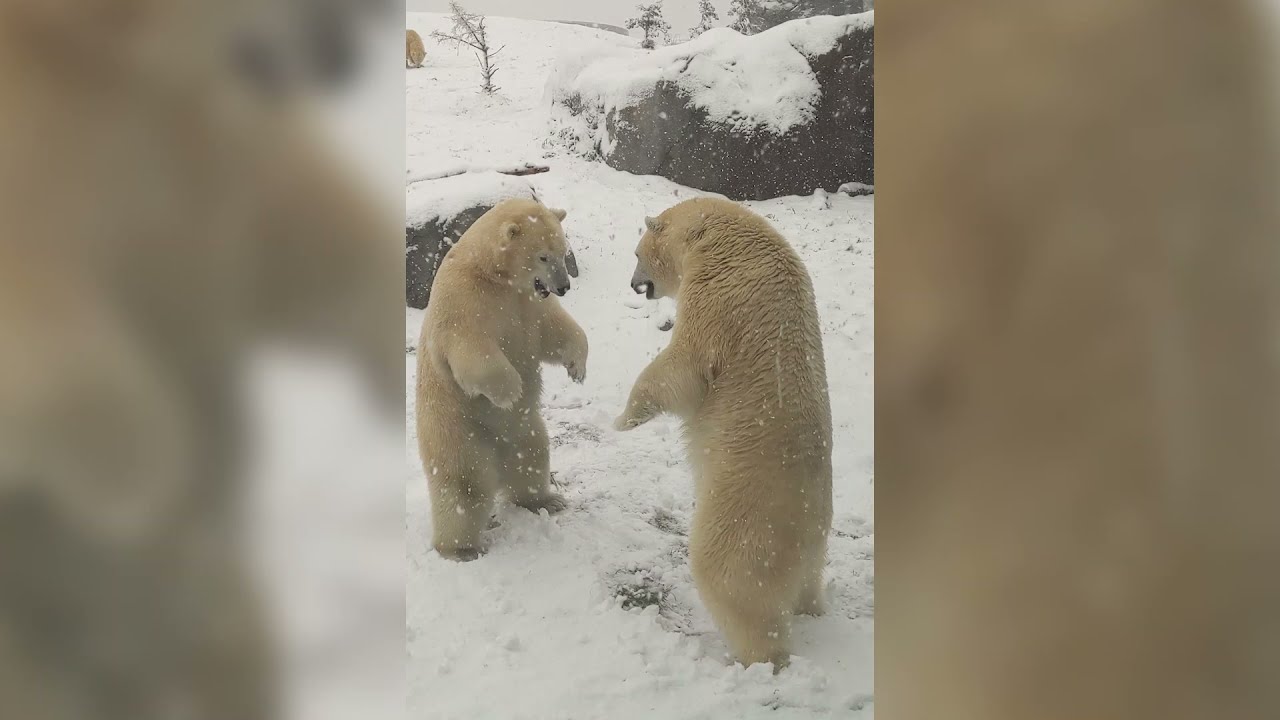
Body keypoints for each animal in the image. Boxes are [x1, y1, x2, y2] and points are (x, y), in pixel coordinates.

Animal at [416, 198, 588, 561]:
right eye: (543, 256)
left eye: (563, 251)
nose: (564, 286)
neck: (494, 274)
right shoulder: (464, 300)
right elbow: (471, 349)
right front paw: (511, 390)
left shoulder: (529, 304)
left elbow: (555, 330)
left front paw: (577, 368)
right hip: (458, 433)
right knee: (465, 487)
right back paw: (462, 549)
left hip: (526, 430)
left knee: (532, 459)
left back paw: (547, 499)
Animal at [613, 197, 833, 670]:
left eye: (637, 253)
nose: (636, 285)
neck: (714, 234)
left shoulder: (719, 291)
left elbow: (684, 365)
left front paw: (622, 420)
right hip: (814, 545)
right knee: (808, 586)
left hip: (745, 519)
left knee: (731, 581)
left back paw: (755, 658)